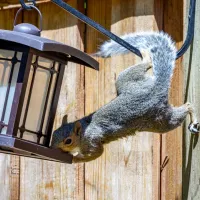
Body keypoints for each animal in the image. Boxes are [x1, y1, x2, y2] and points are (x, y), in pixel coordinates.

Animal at [50, 31, 199, 162]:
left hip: (160, 121)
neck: (83, 132)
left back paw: (192, 115)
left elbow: (96, 153)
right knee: (143, 67)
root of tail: (156, 87)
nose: (52, 147)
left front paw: (74, 158)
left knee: (183, 110)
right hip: (125, 80)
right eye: (53, 134)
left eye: (68, 141)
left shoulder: (92, 141)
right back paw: (146, 57)